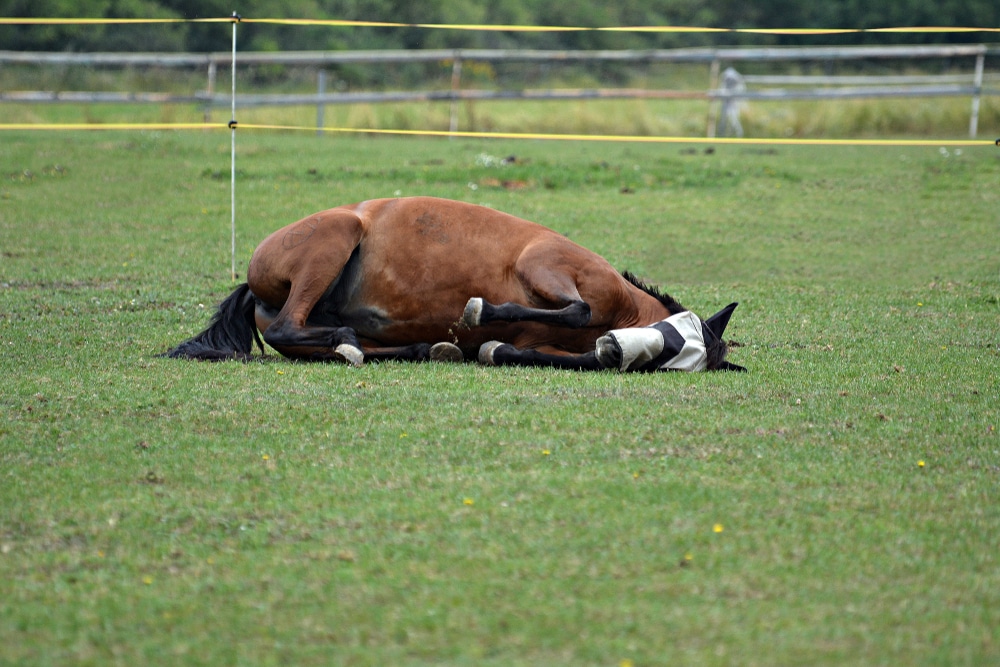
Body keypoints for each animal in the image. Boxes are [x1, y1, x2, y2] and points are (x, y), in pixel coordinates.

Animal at [166, 196, 744, 374]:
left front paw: (486, 344)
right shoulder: (551, 267)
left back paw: (414, 347)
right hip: (335, 236)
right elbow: (574, 308)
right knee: (289, 327)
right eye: (674, 341)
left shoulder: (547, 343)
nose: (616, 349)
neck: (621, 311)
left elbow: (520, 350)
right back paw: (351, 342)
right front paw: (479, 311)